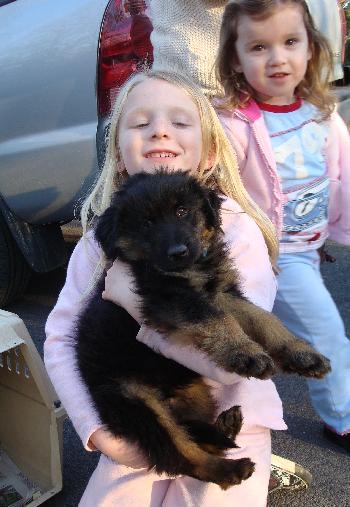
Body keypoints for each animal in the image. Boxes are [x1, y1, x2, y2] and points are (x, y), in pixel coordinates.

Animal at [74, 170, 330, 488]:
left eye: (182, 211)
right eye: (147, 223)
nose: (178, 252)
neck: (193, 269)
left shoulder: (223, 293)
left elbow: (263, 318)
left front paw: (301, 354)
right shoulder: (172, 299)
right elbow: (217, 320)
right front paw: (246, 353)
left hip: (197, 397)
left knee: (199, 437)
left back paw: (226, 427)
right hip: (135, 401)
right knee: (180, 455)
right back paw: (229, 470)